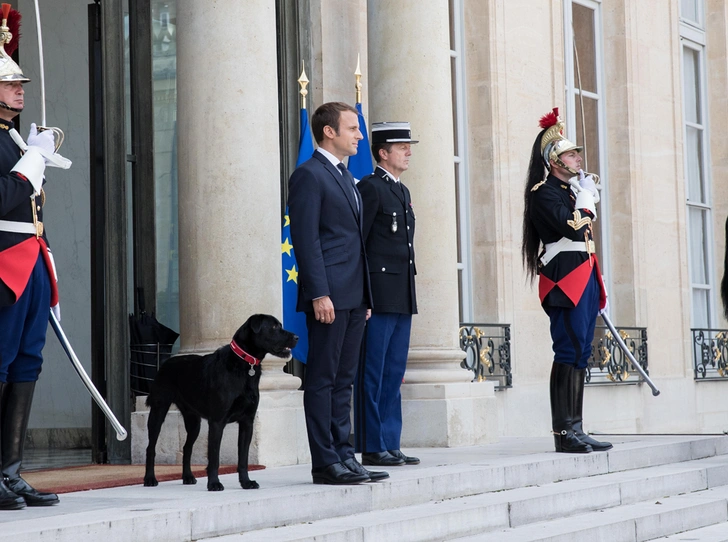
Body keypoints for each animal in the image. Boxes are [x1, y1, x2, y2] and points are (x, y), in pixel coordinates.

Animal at [144, 314, 298, 492]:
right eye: (273, 327)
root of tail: (165, 363)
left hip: (193, 421)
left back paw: (188, 476)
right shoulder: (217, 422)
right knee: (151, 447)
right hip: (158, 411)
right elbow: (214, 457)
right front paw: (214, 483)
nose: (297, 337)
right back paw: (149, 479)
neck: (245, 363)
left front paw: (246, 482)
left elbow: (243, 458)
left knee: (187, 448)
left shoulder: (247, 422)